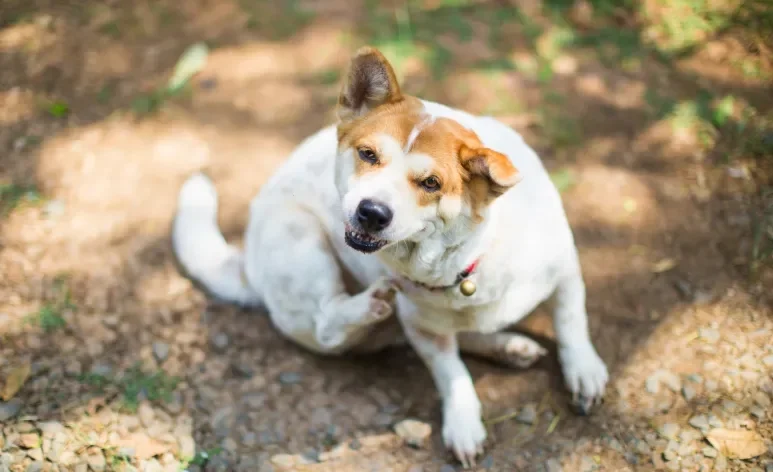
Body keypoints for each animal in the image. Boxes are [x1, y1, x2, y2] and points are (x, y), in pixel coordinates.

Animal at [172, 46, 608, 466]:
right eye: (367, 154)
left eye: (431, 183)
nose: (372, 212)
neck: (468, 262)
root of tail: (247, 264)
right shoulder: (422, 329)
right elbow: (452, 373)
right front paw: (464, 424)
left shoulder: (566, 271)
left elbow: (571, 323)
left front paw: (583, 370)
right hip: (299, 239)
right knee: (328, 323)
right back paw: (368, 306)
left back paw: (509, 347)